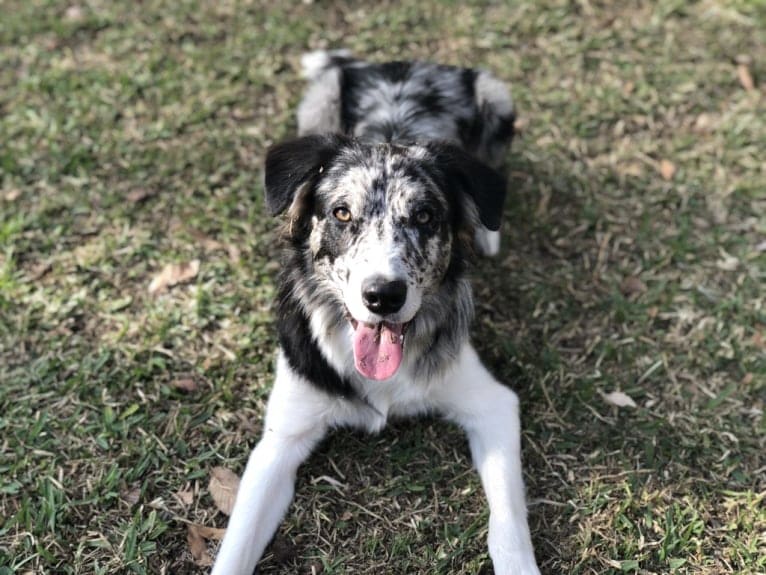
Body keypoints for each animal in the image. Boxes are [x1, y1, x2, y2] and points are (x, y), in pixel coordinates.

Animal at [212, 51, 540, 572]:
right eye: (342, 213)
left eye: (425, 216)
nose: (383, 296)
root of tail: (398, 61)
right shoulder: (280, 441)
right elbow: (235, 548)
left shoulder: (492, 405)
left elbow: (508, 525)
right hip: (320, 98)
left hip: (495, 96)